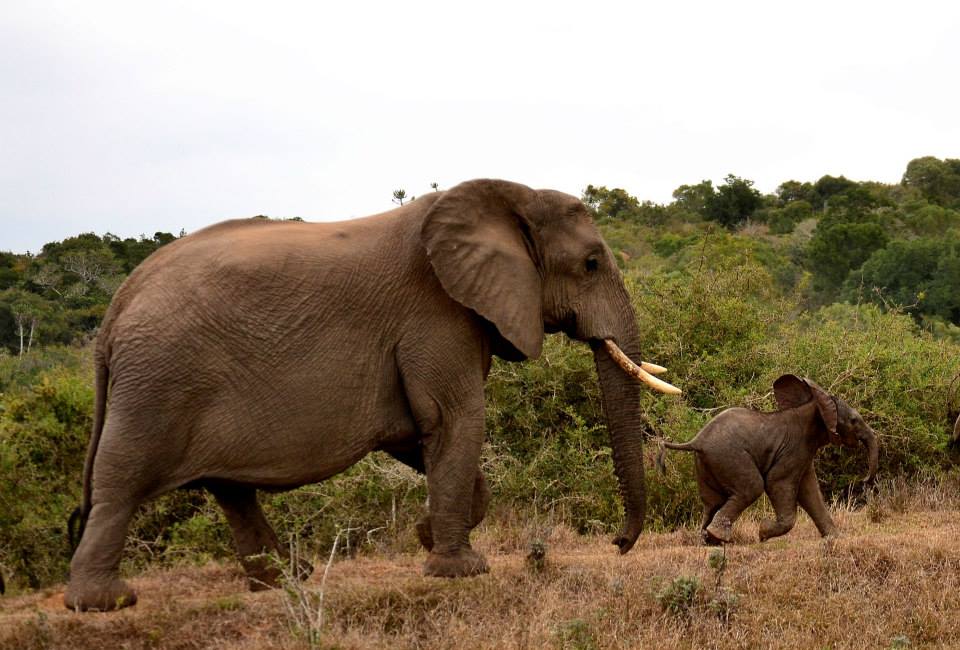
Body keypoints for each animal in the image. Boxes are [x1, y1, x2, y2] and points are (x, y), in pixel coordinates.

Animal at [65, 177, 676, 608]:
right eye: (591, 263)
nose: (618, 544)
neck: (507, 197)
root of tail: (115, 310)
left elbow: (418, 433)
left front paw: (429, 535)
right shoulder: (435, 313)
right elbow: (453, 419)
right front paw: (461, 570)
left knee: (230, 489)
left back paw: (286, 580)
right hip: (158, 380)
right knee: (124, 477)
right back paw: (104, 602)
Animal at [660, 374, 876, 540]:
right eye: (854, 420)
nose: (864, 480)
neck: (814, 405)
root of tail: (697, 440)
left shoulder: (803, 453)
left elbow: (809, 490)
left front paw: (837, 538)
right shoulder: (794, 450)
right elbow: (777, 482)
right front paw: (763, 533)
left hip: (705, 463)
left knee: (712, 501)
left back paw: (709, 540)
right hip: (728, 456)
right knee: (752, 487)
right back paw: (719, 537)